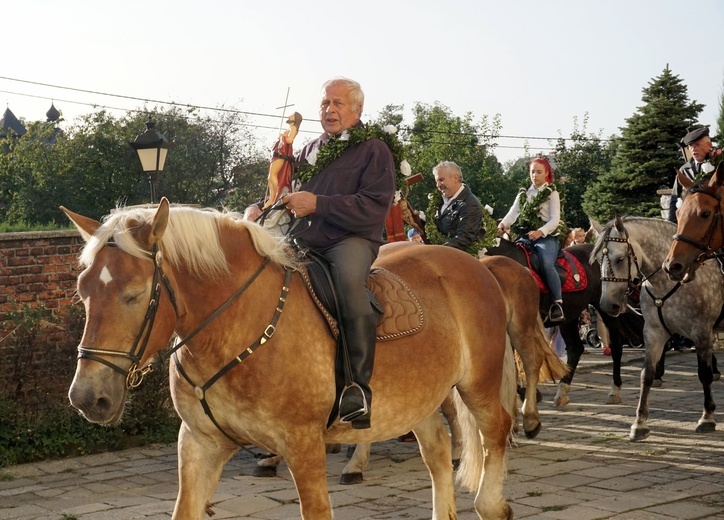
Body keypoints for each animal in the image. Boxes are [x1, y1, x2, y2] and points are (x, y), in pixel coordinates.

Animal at [60, 200, 516, 520]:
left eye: (134, 294)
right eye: (82, 289)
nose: (87, 397)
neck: (234, 326)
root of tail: (477, 264)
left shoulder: (304, 445)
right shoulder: (200, 442)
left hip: (477, 382)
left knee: (496, 430)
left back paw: (492, 504)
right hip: (416, 397)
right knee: (438, 450)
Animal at [486, 239, 644, 406]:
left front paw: (528, 393)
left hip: (607, 308)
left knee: (616, 346)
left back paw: (614, 390)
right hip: (570, 316)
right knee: (575, 348)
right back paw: (562, 391)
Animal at [596, 215, 720, 438]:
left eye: (619, 259)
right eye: (598, 261)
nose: (607, 305)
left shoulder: (702, 333)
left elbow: (704, 374)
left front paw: (707, 417)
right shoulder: (653, 333)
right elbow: (646, 375)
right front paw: (640, 423)